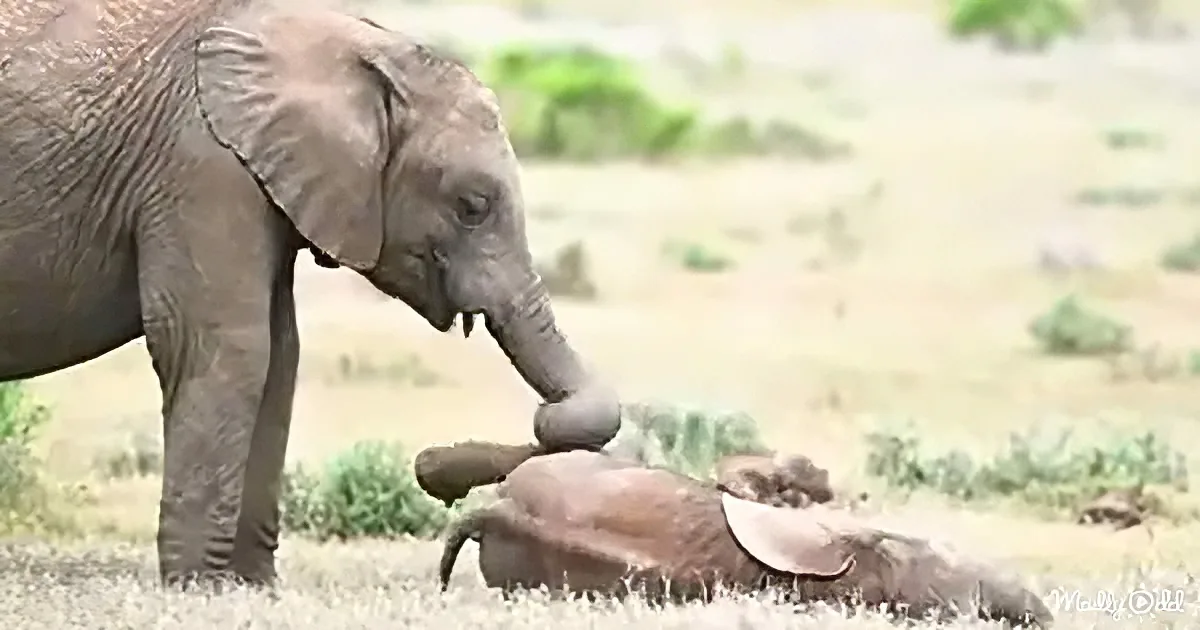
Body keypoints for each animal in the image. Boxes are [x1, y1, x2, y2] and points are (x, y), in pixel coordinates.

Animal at [0, 1, 621, 588]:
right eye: (473, 206)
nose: (433, 470)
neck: (360, 46)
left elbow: (280, 358)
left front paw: (251, 586)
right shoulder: (202, 165)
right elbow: (227, 348)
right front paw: (198, 587)